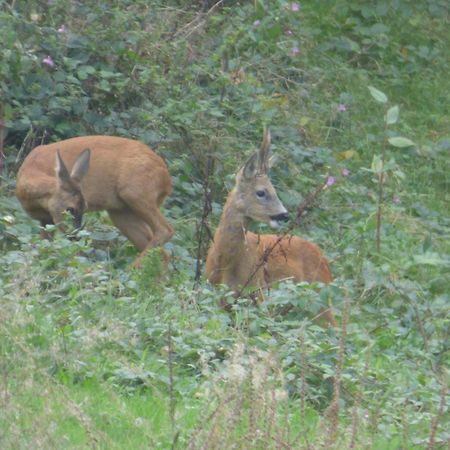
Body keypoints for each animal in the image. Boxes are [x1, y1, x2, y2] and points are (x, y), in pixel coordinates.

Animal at [15, 135, 174, 266]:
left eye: (85, 207)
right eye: (70, 209)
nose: (76, 235)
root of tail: (166, 178)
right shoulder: (45, 220)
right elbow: (41, 250)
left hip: (135, 192)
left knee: (165, 230)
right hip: (121, 212)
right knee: (162, 252)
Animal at [206, 128, 336, 326]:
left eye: (274, 190)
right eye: (261, 192)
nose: (284, 215)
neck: (224, 263)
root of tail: (323, 259)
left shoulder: (257, 293)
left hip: (320, 296)